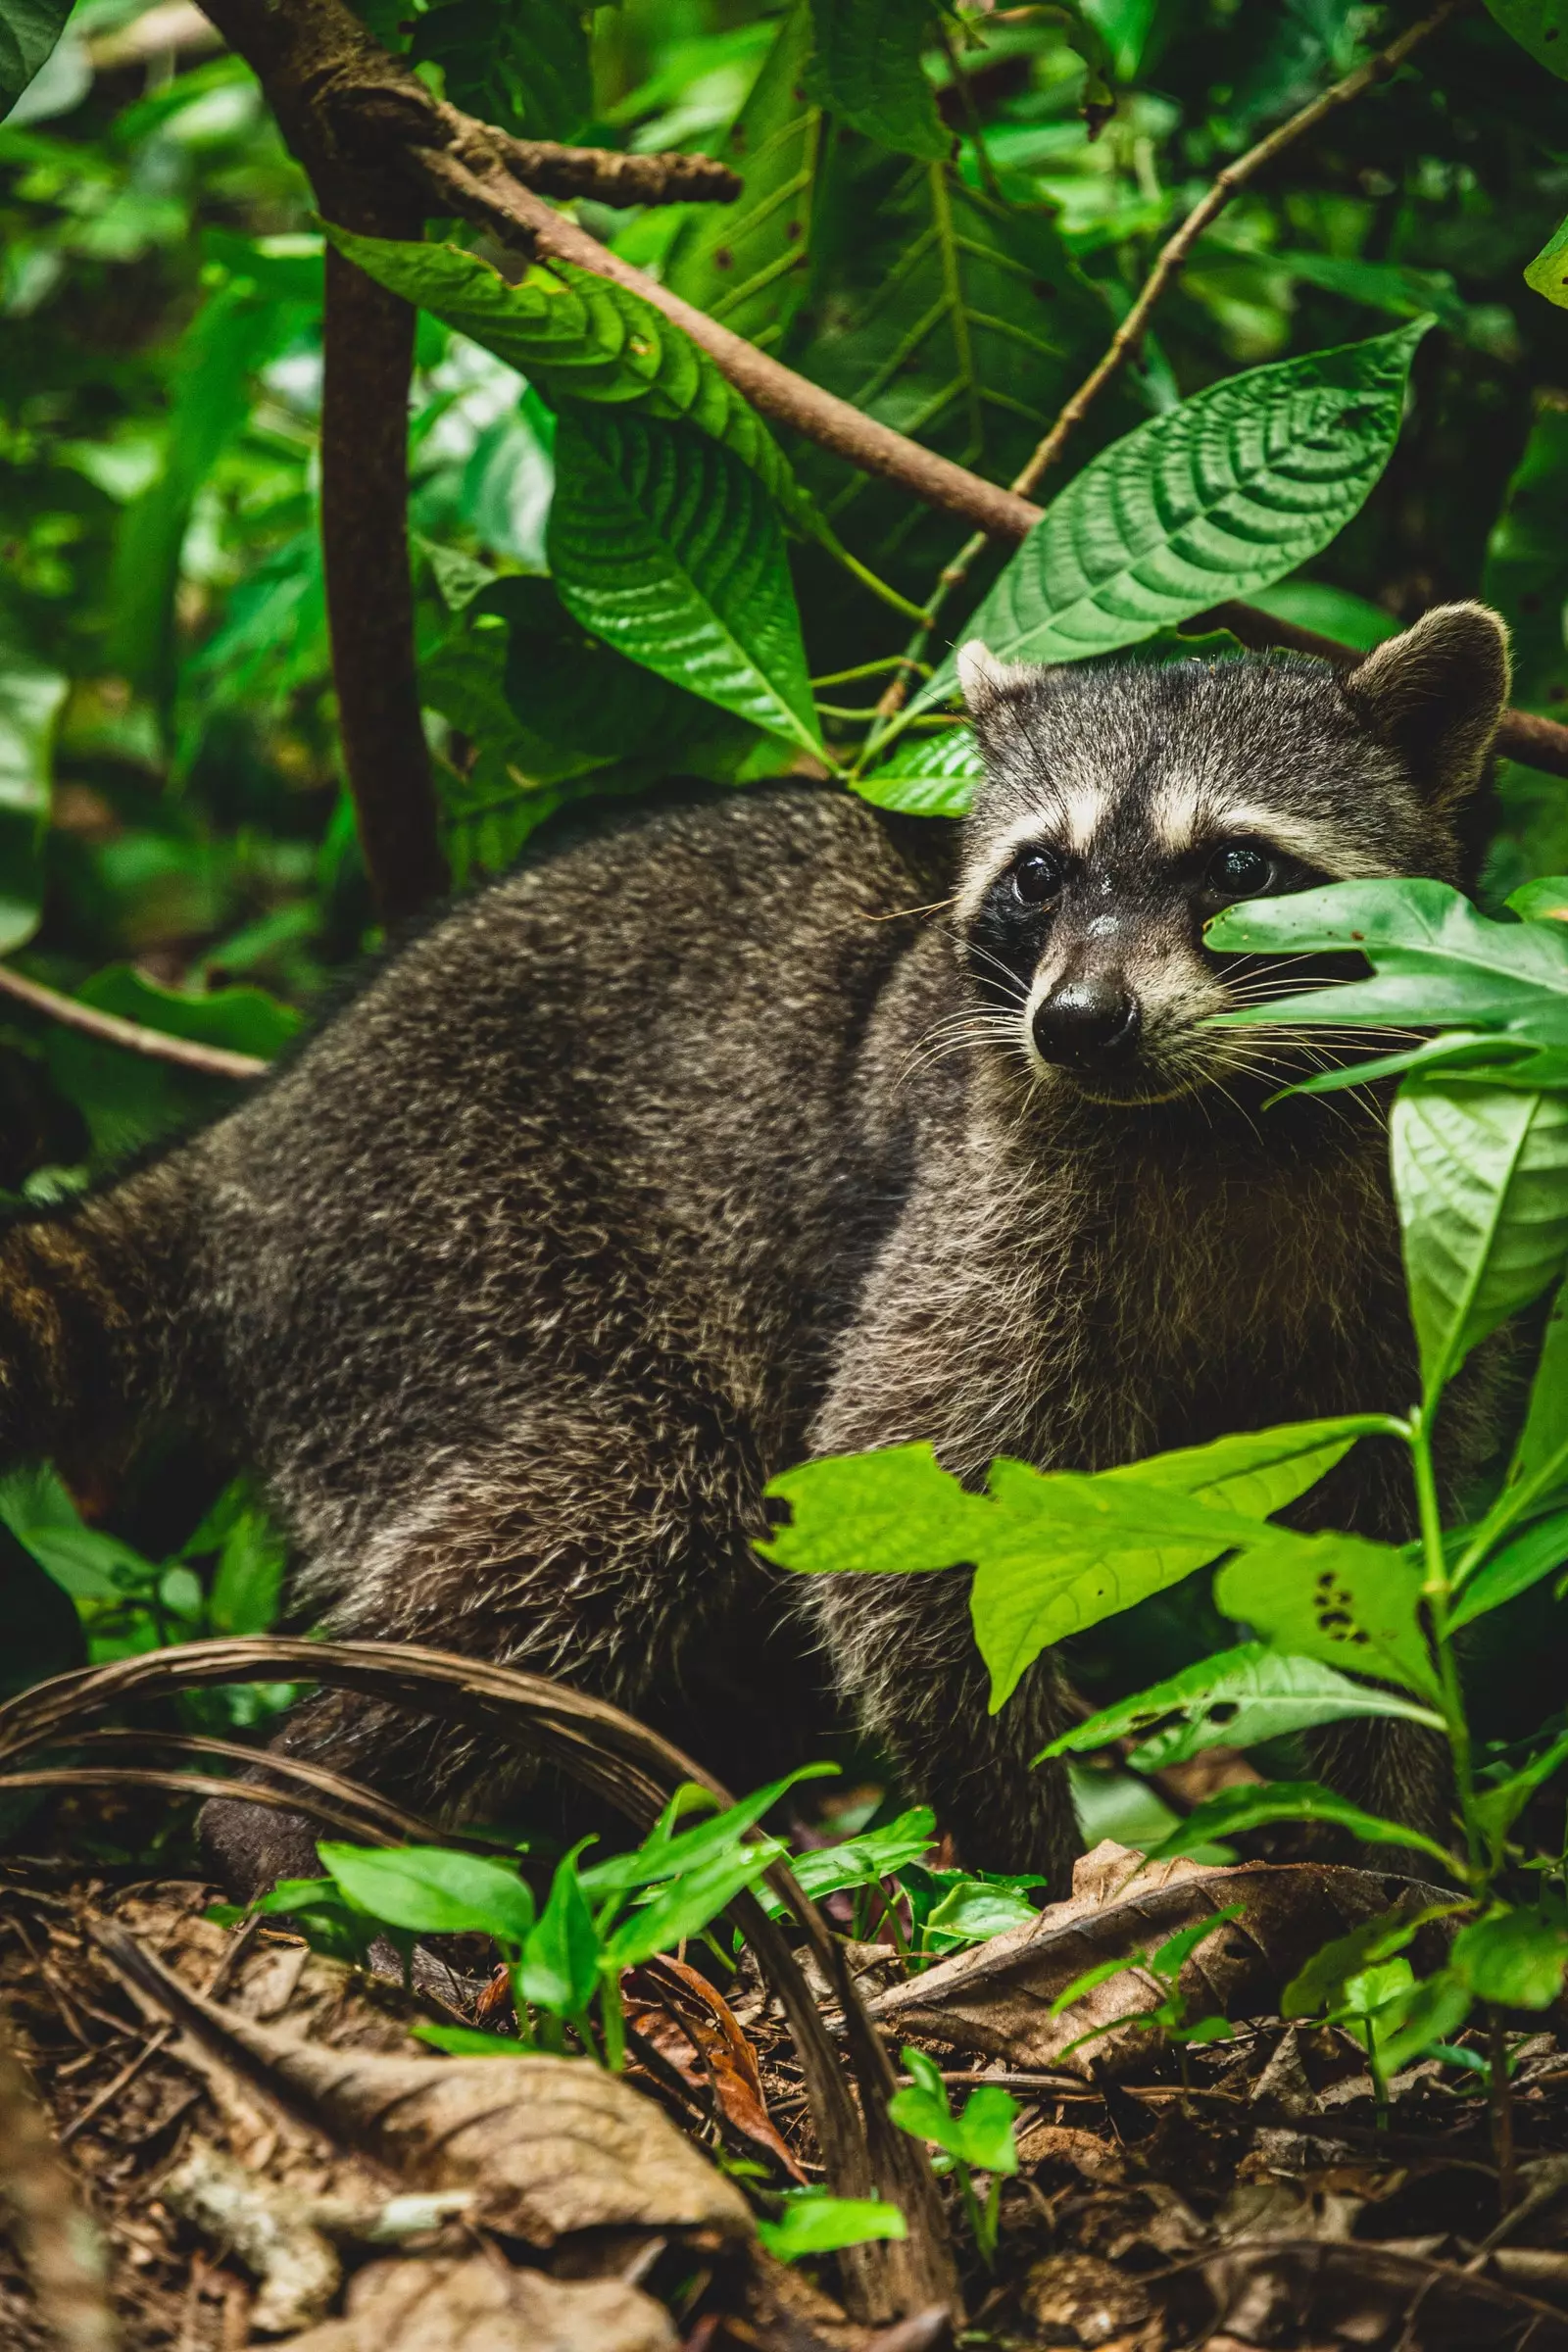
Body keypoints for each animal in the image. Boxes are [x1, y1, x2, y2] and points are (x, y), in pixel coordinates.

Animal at [0, 602, 1504, 1890]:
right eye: (1039, 877)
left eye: (1238, 866)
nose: (1079, 1023)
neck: (1222, 1113)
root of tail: (250, 1145)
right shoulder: (987, 1198)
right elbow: (901, 1499)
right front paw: (1031, 1856)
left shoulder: (1410, 1220)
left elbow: (1391, 1538)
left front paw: (1402, 1851)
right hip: (445, 1249)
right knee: (617, 1495)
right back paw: (276, 1816)